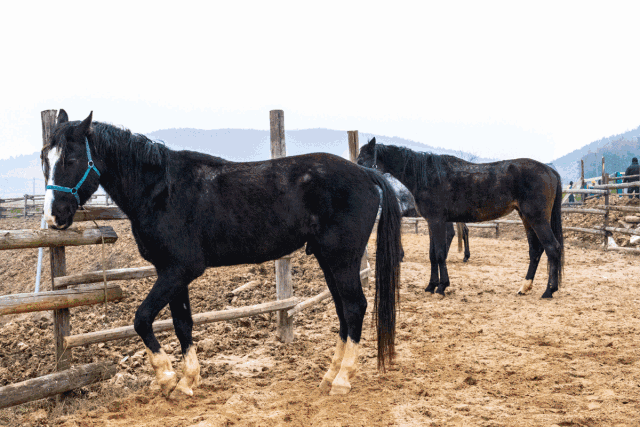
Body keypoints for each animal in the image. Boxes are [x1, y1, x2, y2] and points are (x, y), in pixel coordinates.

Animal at [41, 110, 403, 397]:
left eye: (71, 159)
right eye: (46, 159)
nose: (54, 216)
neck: (161, 190)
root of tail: (366, 174)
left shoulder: (179, 270)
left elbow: (142, 319)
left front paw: (167, 377)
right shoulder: (172, 273)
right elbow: (182, 323)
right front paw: (187, 381)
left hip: (342, 259)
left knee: (355, 308)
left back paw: (342, 380)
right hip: (329, 260)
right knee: (343, 311)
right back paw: (329, 376)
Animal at [357, 138, 563, 299]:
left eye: (364, 160)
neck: (426, 176)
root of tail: (550, 170)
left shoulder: (437, 221)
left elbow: (440, 254)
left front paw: (442, 286)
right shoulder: (432, 222)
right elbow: (432, 254)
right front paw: (431, 285)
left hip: (537, 219)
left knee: (552, 248)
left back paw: (549, 291)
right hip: (527, 218)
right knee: (535, 251)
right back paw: (524, 287)